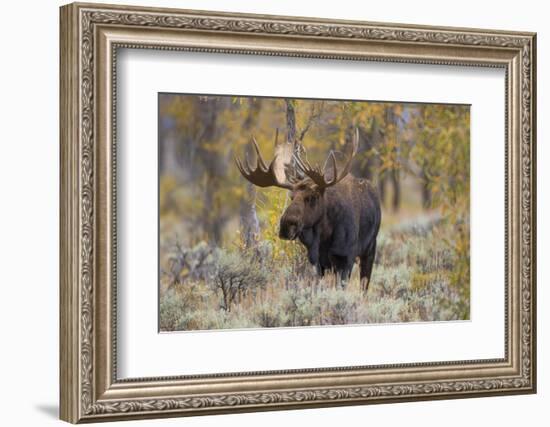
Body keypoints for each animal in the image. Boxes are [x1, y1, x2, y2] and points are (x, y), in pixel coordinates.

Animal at [237, 129, 384, 292]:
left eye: (313, 197)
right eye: (291, 197)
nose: (286, 225)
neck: (324, 235)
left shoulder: (346, 258)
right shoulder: (320, 262)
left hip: (370, 249)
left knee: (364, 285)